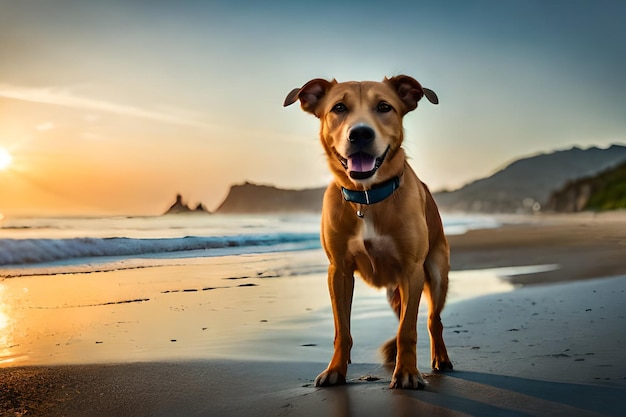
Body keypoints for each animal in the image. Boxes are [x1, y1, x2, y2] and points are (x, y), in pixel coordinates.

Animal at [282, 75, 448, 390]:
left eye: (384, 107)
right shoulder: (339, 271)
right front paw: (336, 369)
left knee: (434, 320)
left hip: (436, 273)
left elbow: (408, 330)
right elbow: (342, 330)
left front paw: (407, 372)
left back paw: (441, 359)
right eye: (339, 107)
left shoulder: (412, 272)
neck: (367, 198)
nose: (360, 134)